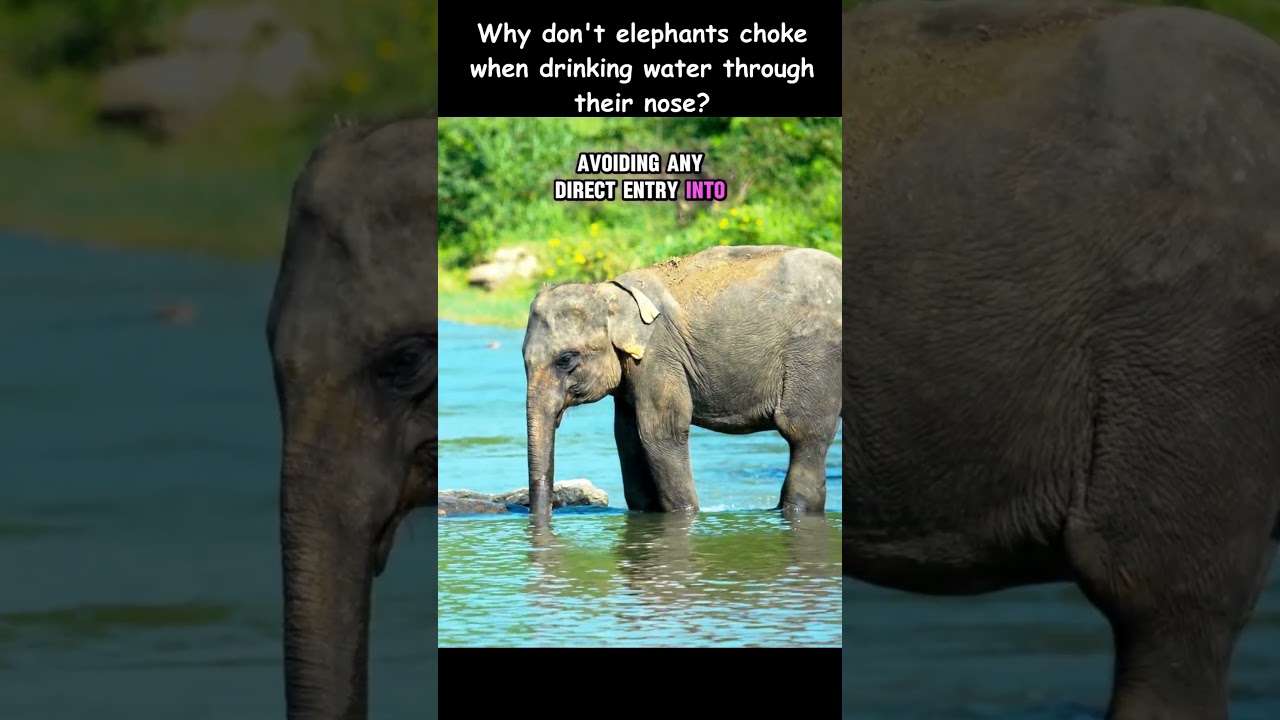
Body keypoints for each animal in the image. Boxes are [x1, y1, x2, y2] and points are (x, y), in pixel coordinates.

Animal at [522, 244, 841, 519]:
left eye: (565, 359)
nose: (545, 513)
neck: (607, 292)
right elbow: (627, 437)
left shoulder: (658, 353)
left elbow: (661, 430)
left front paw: (685, 515)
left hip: (816, 355)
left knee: (803, 432)